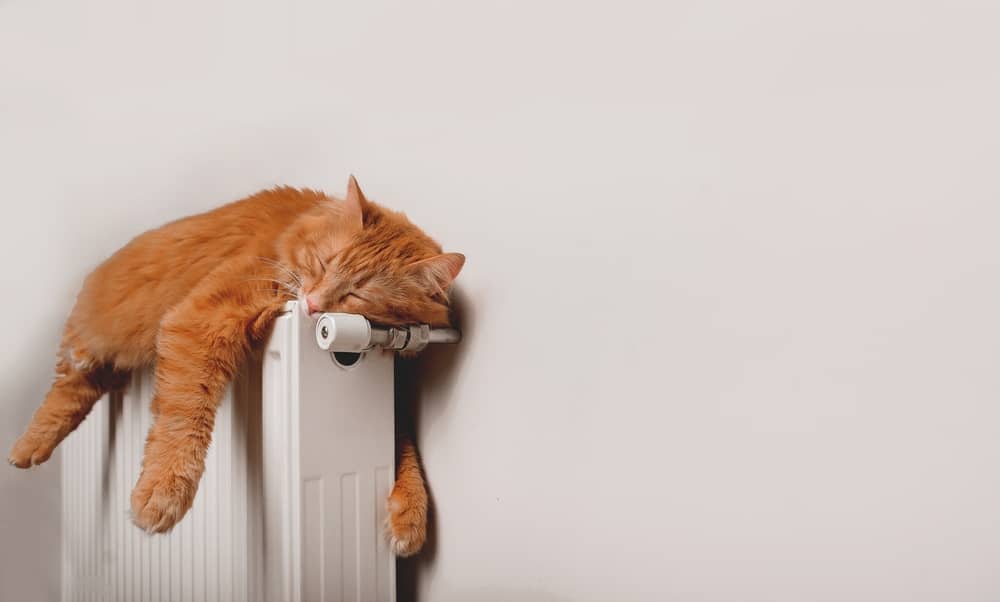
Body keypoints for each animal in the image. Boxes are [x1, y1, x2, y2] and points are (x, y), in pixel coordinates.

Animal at [7, 176, 462, 556]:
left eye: (358, 294)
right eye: (323, 264)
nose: (313, 305)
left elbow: (403, 442)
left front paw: (410, 514)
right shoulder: (200, 318)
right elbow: (183, 419)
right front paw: (163, 492)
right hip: (87, 349)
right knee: (65, 390)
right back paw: (27, 448)